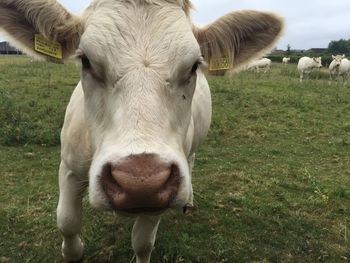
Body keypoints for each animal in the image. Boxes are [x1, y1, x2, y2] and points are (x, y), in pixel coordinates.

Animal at [0, 1, 284, 262]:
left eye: (194, 66)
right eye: (85, 60)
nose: (139, 183)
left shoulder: (161, 194)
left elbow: (143, 242)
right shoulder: (69, 166)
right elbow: (67, 220)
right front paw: (72, 252)